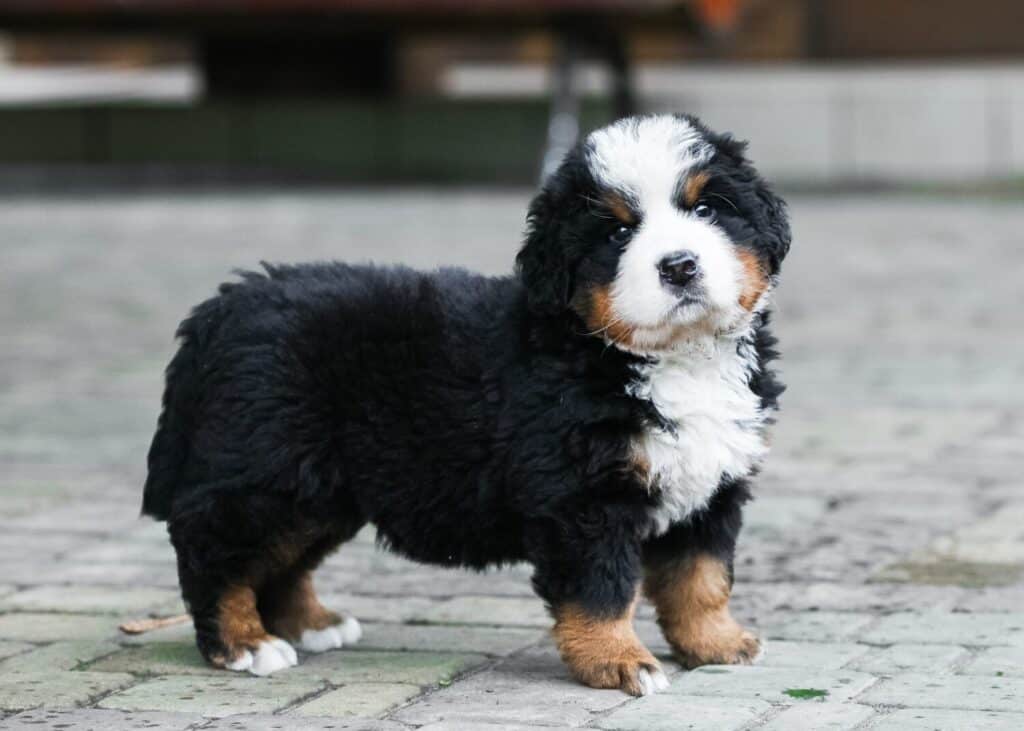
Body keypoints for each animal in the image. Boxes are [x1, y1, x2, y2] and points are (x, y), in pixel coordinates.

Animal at [142, 113, 790, 696]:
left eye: (706, 210)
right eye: (616, 233)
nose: (679, 265)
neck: (667, 359)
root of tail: (226, 305)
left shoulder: (713, 488)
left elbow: (702, 578)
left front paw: (716, 644)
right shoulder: (583, 498)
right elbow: (602, 589)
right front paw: (618, 661)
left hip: (320, 492)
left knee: (283, 561)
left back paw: (312, 624)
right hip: (263, 475)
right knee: (214, 552)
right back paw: (242, 643)